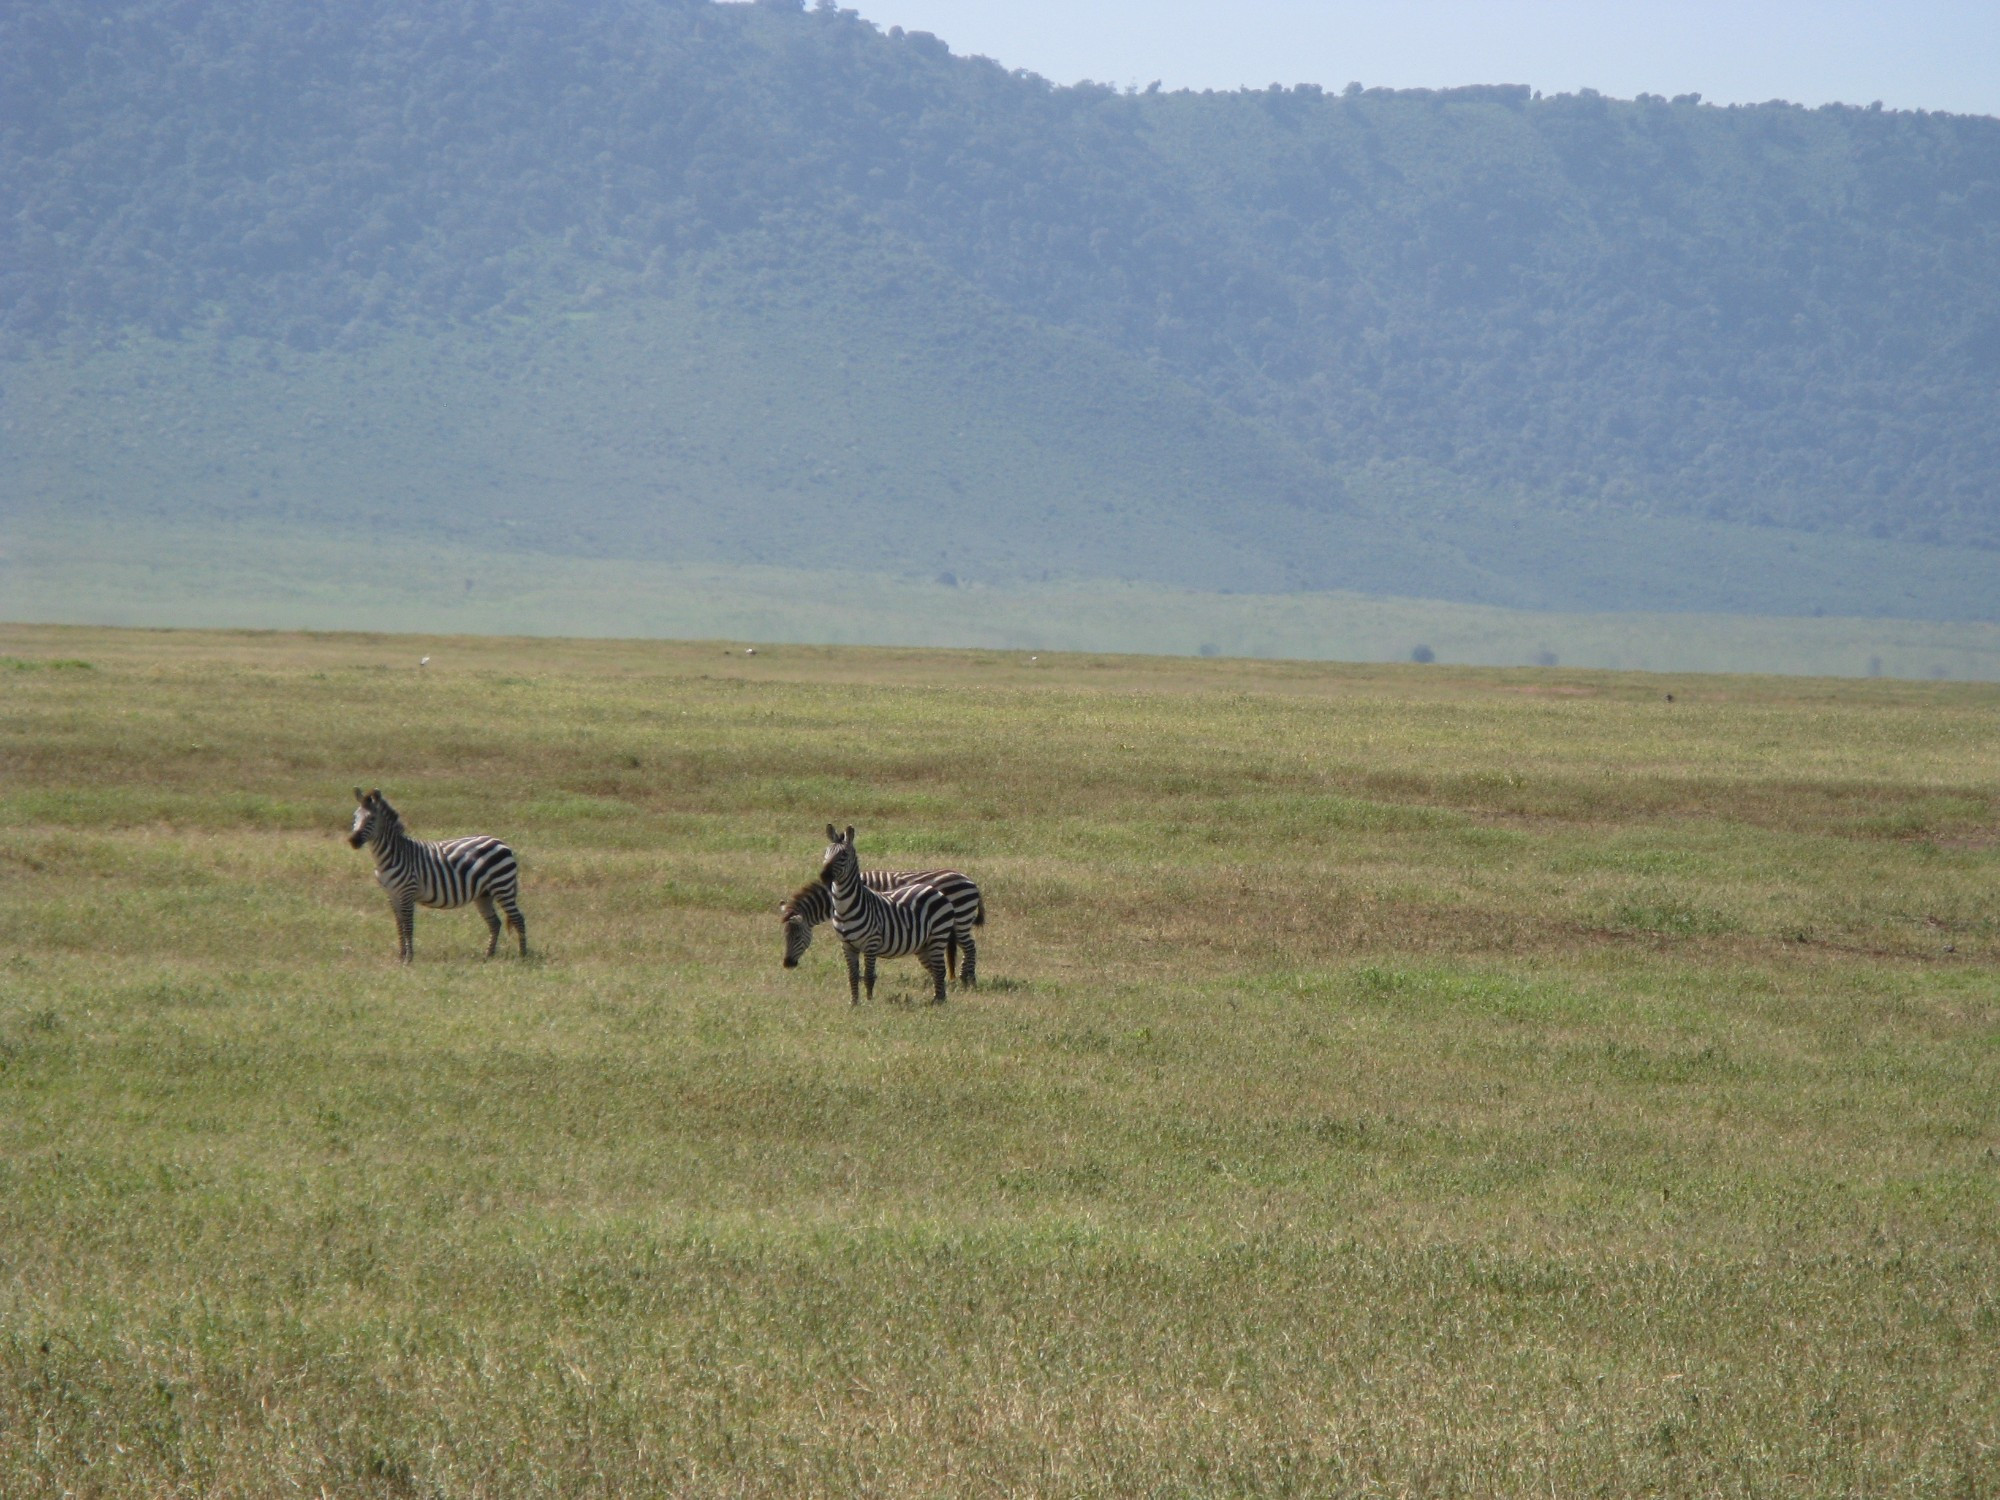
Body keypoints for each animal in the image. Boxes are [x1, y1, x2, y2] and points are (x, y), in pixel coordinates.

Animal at [348, 788, 528, 964]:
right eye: (355, 817)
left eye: (371, 819)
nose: (353, 841)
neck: (391, 856)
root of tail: (501, 842)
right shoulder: (392, 894)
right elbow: (399, 924)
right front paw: (400, 957)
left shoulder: (407, 892)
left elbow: (408, 925)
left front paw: (408, 959)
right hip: (484, 894)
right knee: (495, 922)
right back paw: (488, 956)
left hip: (502, 886)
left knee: (518, 919)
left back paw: (522, 956)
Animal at [772, 868, 984, 988]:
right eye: (784, 936)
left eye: (796, 937)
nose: (787, 964)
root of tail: (970, 880)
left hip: (961, 919)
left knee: (970, 947)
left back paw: (968, 979)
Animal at [820, 828, 960, 1004]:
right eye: (826, 852)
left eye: (843, 855)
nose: (823, 875)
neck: (845, 908)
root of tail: (936, 891)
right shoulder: (847, 946)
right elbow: (852, 976)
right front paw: (854, 1003)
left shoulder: (871, 944)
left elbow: (868, 977)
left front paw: (869, 1003)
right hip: (924, 945)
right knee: (935, 970)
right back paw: (938, 999)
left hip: (938, 937)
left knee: (940, 970)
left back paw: (939, 1002)